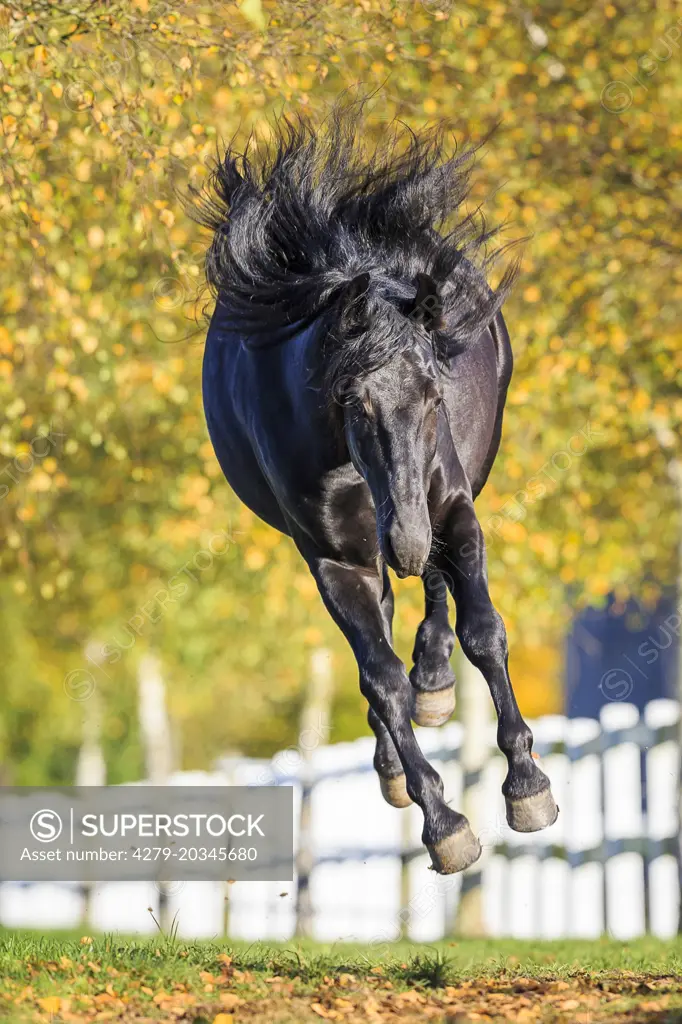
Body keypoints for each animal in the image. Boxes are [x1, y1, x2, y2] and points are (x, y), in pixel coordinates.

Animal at [196, 108, 557, 872]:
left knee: (437, 599)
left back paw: (437, 683)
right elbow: (380, 677)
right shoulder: (335, 559)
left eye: (433, 396)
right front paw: (444, 823)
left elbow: (485, 632)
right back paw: (398, 758)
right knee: (385, 636)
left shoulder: (452, 508)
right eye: (350, 400)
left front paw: (527, 784)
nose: (408, 540)